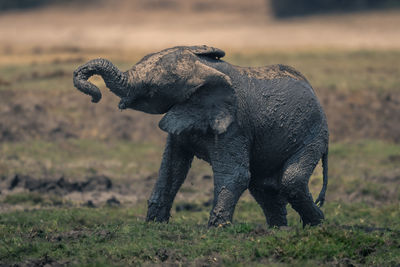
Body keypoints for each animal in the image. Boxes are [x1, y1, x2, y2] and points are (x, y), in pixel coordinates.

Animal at [73, 45, 330, 228]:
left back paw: (317, 226)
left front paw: (215, 230)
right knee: (264, 187)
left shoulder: (234, 124)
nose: (95, 96)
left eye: (152, 90)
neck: (204, 70)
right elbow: (172, 169)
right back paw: (279, 230)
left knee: (290, 180)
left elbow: (235, 174)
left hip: (314, 134)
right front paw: (153, 226)